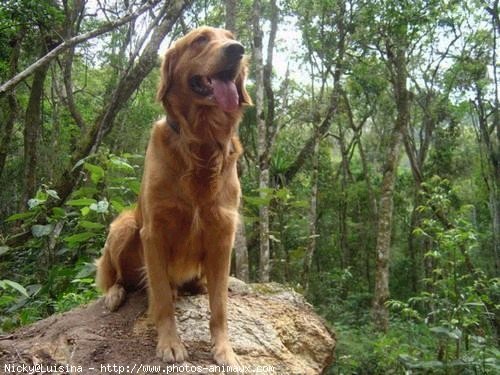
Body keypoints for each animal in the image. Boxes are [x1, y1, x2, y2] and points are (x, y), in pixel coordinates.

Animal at [95, 27, 252, 370]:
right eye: (200, 40)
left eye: (229, 36)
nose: (238, 49)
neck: (202, 143)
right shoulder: (153, 231)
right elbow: (163, 301)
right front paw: (170, 343)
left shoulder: (223, 233)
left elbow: (219, 307)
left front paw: (225, 350)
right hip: (125, 226)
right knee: (117, 276)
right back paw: (115, 294)